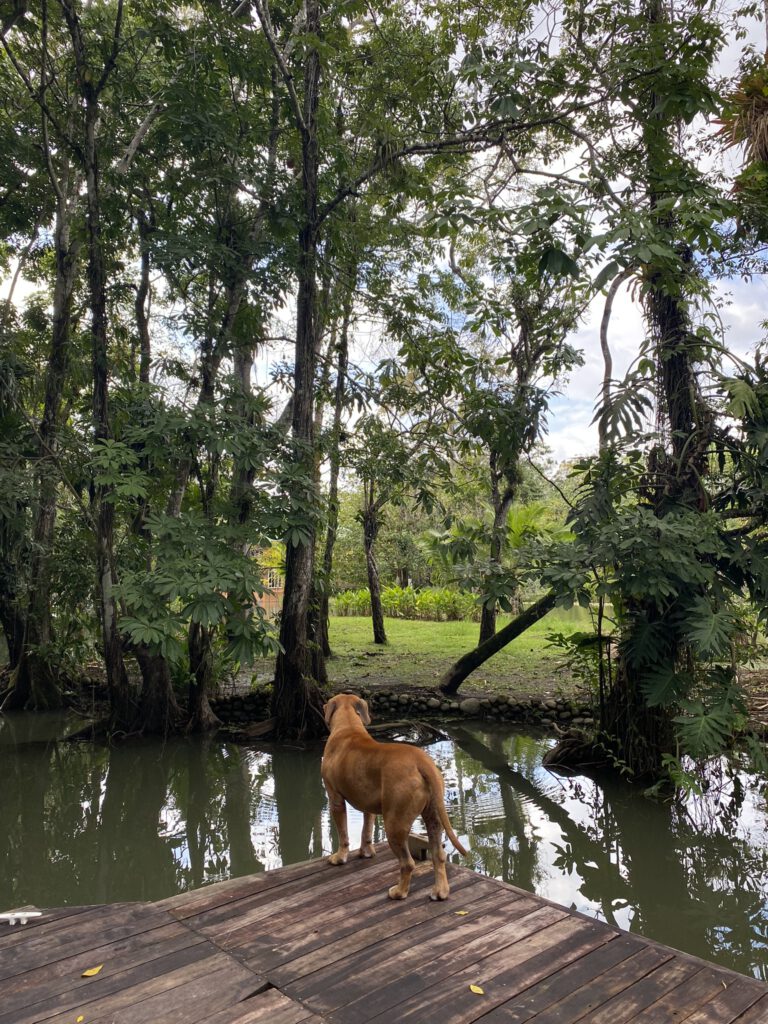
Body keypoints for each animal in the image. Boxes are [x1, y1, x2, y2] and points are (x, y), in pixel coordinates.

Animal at [319, 692, 466, 901]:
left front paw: (340, 857)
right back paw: (440, 892)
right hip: (433, 817)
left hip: (394, 823)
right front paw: (366, 852)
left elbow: (343, 833)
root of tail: (422, 761)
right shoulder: (368, 805)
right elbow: (367, 830)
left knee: (407, 863)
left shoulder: (335, 798)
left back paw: (399, 892)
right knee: (439, 855)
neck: (348, 726)